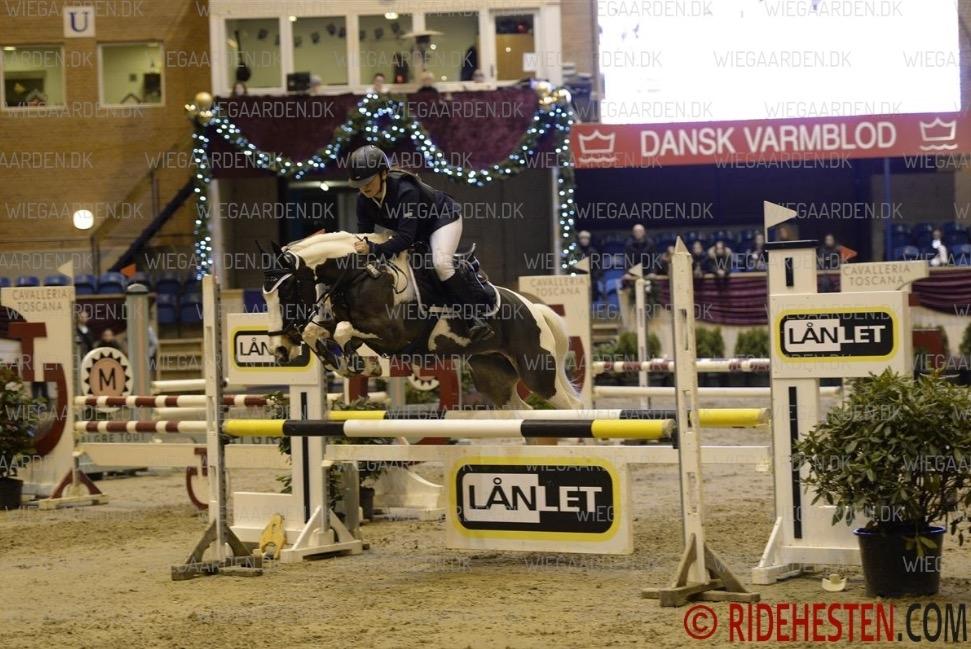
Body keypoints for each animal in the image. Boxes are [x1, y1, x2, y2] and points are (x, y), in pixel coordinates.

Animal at [262, 230, 582, 410]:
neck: (358, 276)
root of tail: (534, 308)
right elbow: (316, 331)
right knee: (522, 409)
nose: (280, 350)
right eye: (265, 296)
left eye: (287, 290)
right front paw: (346, 364)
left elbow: (342, 331)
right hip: (493, 376)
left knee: (571, 406)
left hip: (538, 372)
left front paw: (360, 363)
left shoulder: (393, 335)